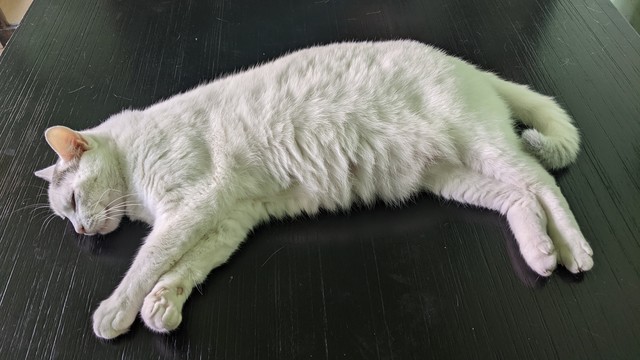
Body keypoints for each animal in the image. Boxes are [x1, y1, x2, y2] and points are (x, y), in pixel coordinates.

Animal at [35, 40, 592, 338]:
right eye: (67, 216)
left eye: (73, 202)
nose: (82, 231)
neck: (132, 157)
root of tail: (466, 65)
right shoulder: (227, 219)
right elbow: (187, 266)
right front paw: (163, 304)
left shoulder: (191, 207)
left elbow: (147, 261)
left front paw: (117, 310)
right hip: (453, 176)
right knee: (519, 199)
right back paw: (540, 253)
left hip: (484, 146)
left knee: (542, 183)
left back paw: (571, 249)